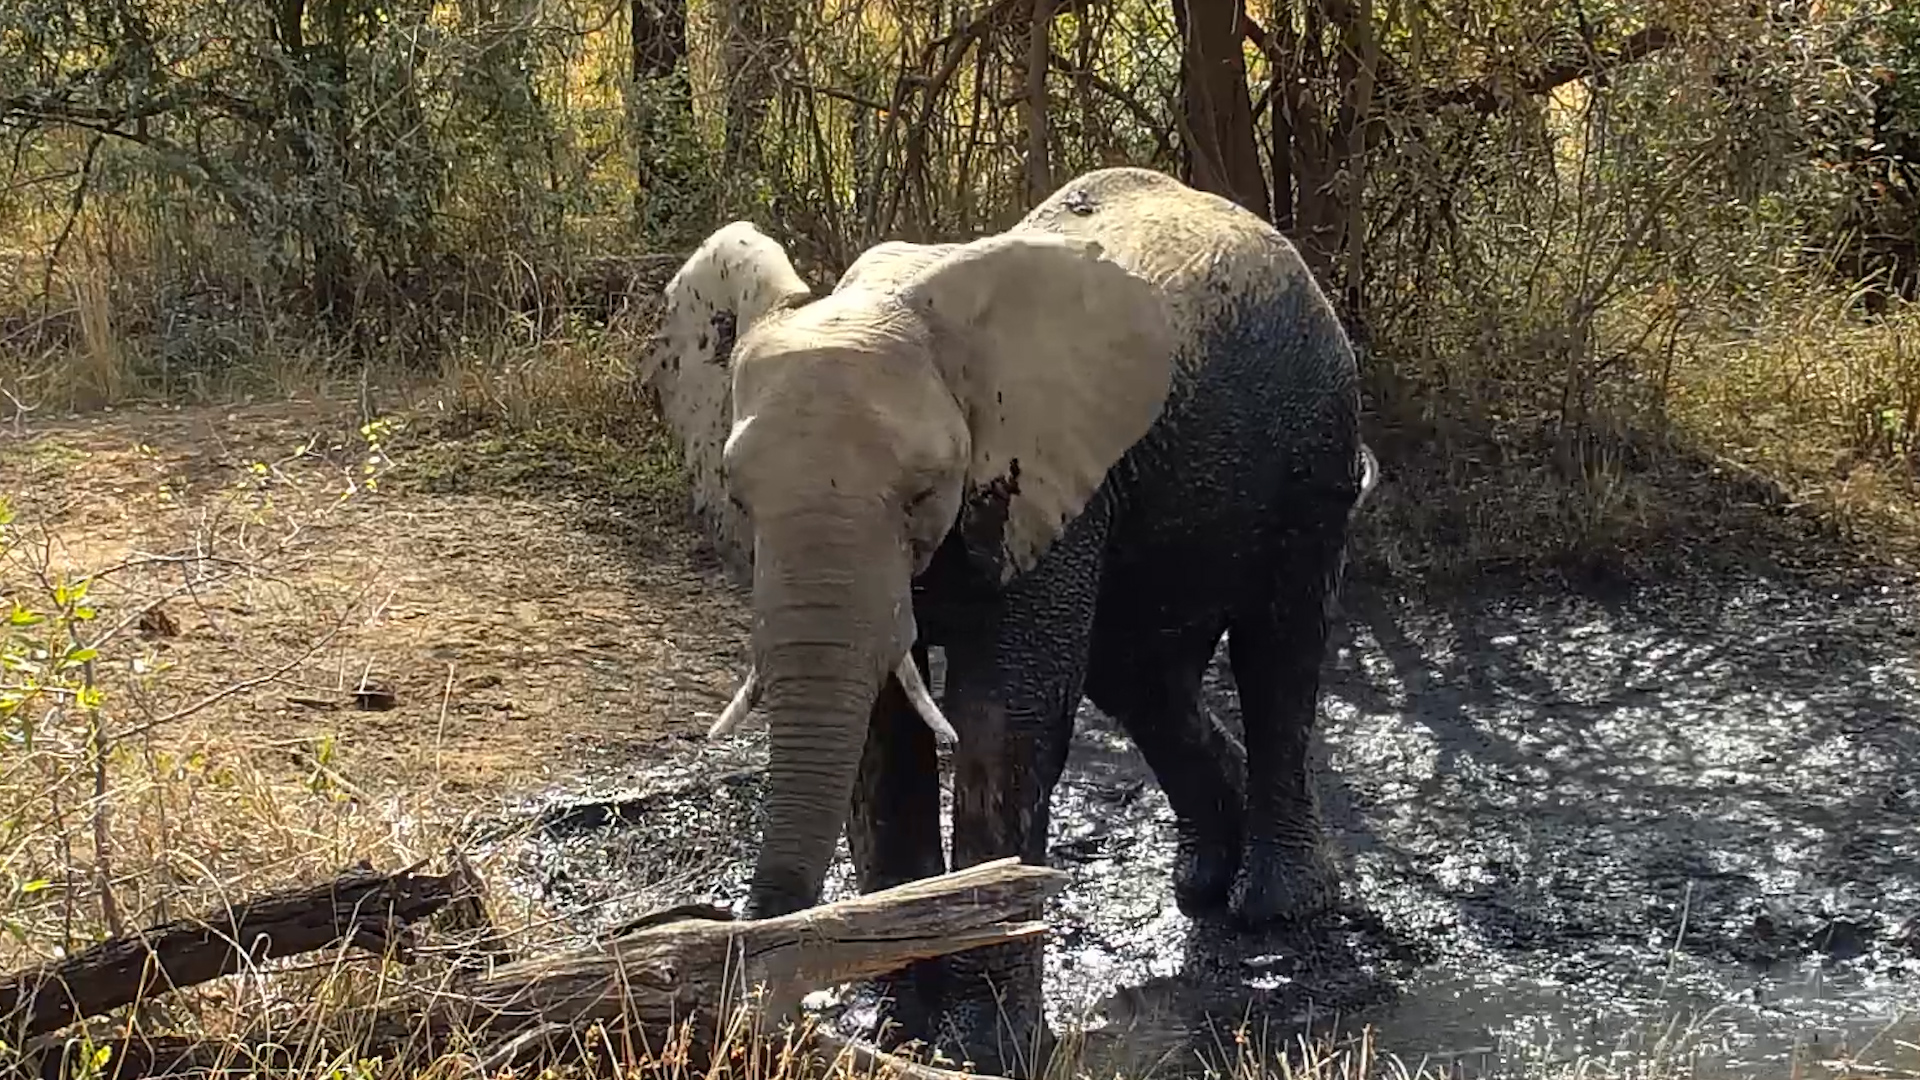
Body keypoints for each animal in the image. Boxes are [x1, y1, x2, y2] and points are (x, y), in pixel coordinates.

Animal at [641, 166, 1376, 1076]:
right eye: (738, 498)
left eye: (925, 489)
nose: (747, 996)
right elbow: (882, 743)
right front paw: (899, 1030)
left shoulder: (1042, 476)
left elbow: (1002, 727)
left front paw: (982, 1049)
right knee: (1143, 678)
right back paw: (1203, 879)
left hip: (1316, 431)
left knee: (1280, 645)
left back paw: (1274, 909)